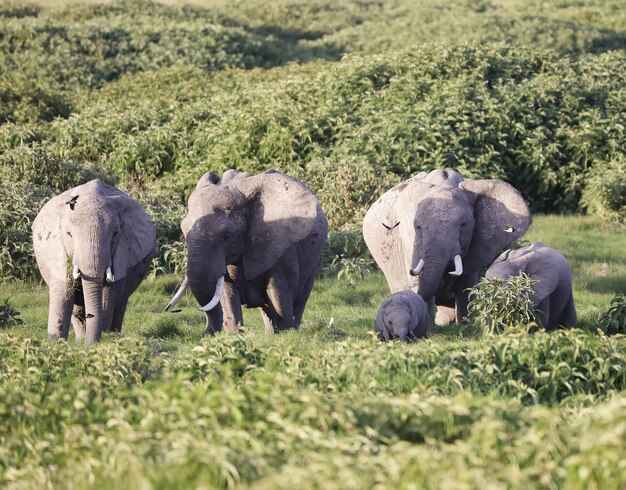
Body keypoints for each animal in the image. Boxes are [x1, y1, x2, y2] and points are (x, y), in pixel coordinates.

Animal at [33, 179, 157, 344]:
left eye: (115, 234)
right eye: (69, 234)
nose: (90, 345)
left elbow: (108, 296)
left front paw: (103, 339)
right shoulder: (57, 251)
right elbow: (63, 291)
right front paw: (55, 343)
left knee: (120, 304)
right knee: (77, 310)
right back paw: (80, 340)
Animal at [166, 168, 326, 334]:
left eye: (227, 235)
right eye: (183, 231)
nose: (174, 310)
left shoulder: (281, 245)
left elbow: (280, 289)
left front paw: (285, 333)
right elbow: (226, 292)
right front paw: (235, 334)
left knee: (300, 298)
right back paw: (270, 333)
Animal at [364, 169, 528, 326]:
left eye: (463, 225)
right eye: (418, 226)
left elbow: (466, 284)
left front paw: (466, 325)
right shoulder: (409, 240)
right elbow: (418, 281)